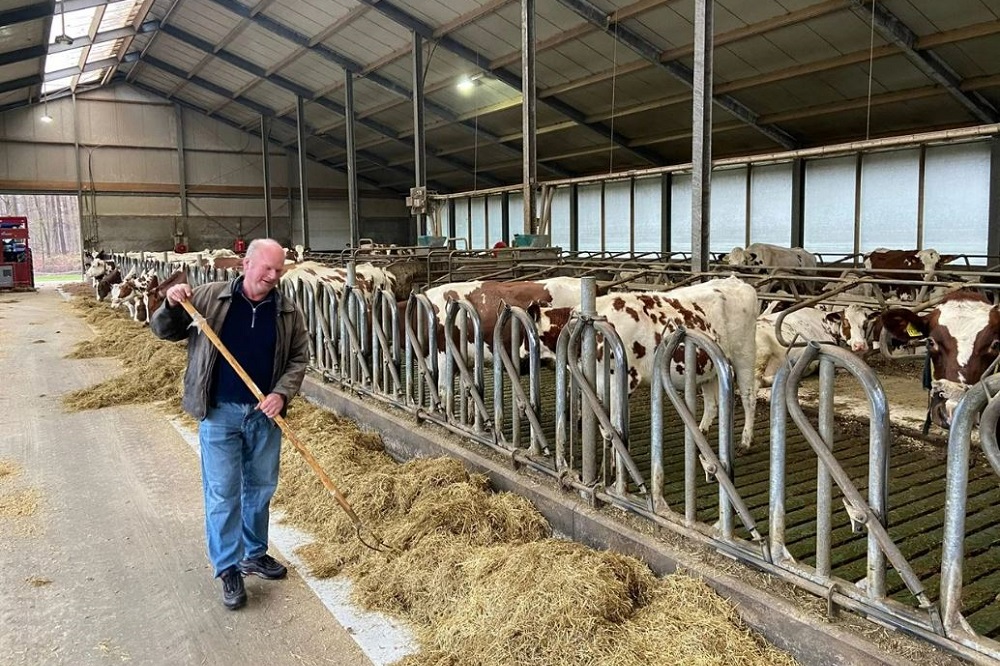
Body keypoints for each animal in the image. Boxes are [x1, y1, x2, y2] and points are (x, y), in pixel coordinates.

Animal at [532, 274, 756, 452]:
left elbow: (616, 424)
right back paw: (700, 434)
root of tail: (735, 280)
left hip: (744, 356)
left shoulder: (627, 378)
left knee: (748, 397)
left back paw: (745, 442)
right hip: (707, 368)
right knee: (712, 403)